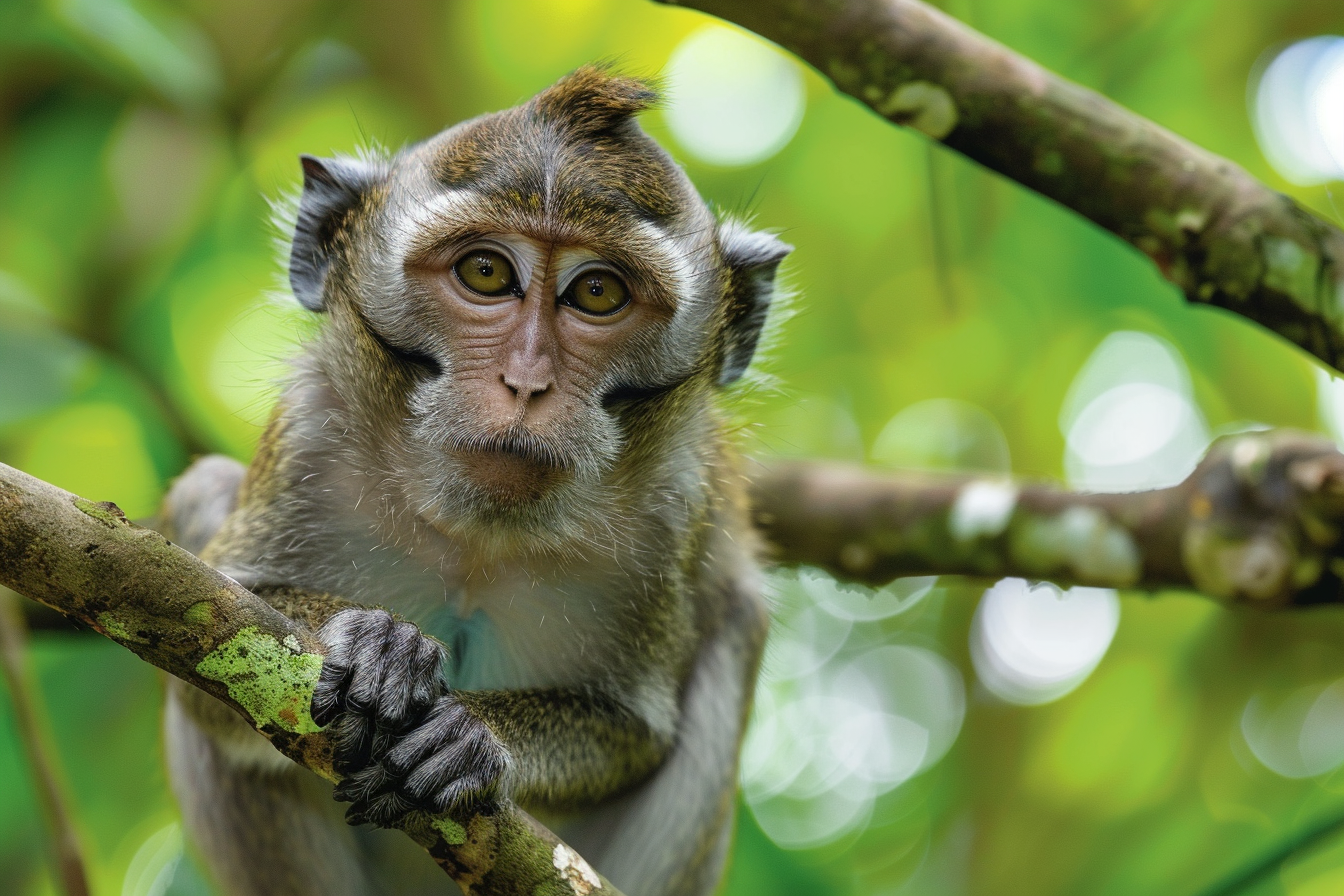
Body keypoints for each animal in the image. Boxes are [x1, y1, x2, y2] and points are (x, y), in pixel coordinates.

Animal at [158, 66, 791, 896]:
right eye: (486, 273)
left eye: (598, 293)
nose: (525, 382)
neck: (479, 529)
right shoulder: (309, 432)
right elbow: (216, 655)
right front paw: (377, 642)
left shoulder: (672, 513)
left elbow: (630, 729)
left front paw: (474, 736)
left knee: (740, 618)